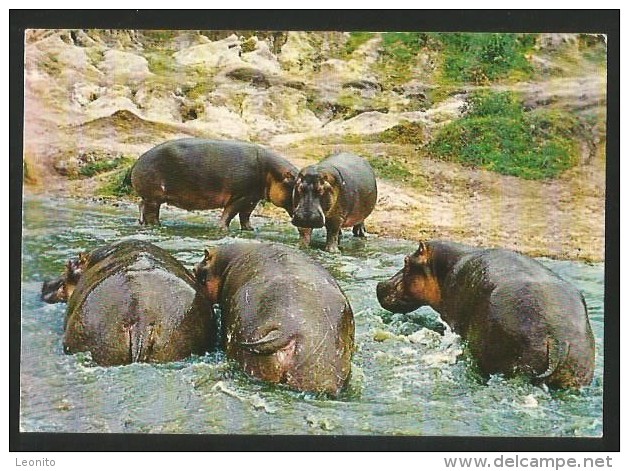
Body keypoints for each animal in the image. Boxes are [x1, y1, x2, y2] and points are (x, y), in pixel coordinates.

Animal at [129, 137, 298, 231]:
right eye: (295, 185)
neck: (272, 172)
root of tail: (139, 160)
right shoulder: (241, 196)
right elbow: (230, 212)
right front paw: (223, 229)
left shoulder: (252, 198)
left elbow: (245, 216)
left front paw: (251, 229)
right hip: (154, 197)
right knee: (151, 213)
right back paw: (157, 226)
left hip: (150, 197)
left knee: (141, 206)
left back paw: (143, 223)